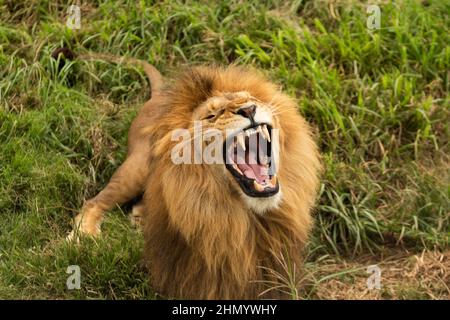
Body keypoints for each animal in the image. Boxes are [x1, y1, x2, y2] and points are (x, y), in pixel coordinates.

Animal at [67, 50, 320, 300]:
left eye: (253, 100)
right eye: (211, 115)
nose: (249, 109)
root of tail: (158, 96)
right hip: (137, 167)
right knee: (95, 201)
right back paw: (84, 235)